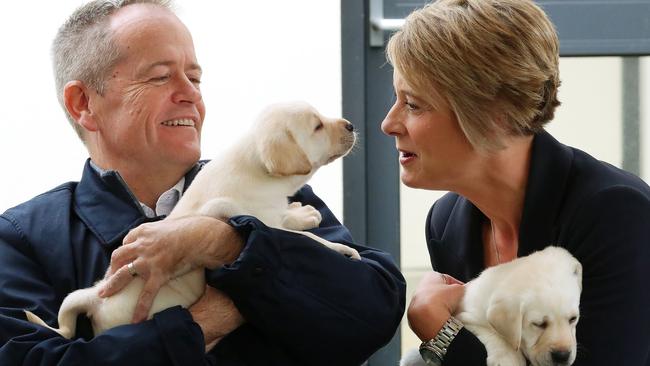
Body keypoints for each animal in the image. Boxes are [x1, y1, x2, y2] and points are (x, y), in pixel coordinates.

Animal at [402, 246, 580, 366]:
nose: (562, 355)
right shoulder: (465, 316)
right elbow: (491, 333)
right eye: (538, 324)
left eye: (573, 319)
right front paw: (508, 358)